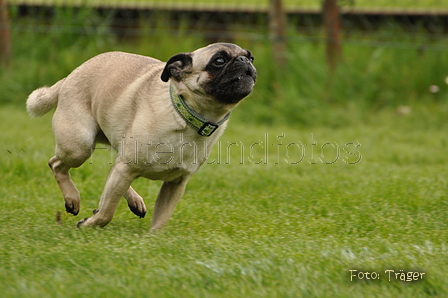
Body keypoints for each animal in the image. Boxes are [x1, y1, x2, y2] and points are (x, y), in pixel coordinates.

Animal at [27, 42, 256, 229]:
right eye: (219, 61)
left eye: (250, 57)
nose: (245, 61)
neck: (185, 115)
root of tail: (70, 76)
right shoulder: (127, 167)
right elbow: (108, 211)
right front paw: (90, 224)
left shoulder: (175, 184)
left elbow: (160, 219)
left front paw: (152, 241)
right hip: (79, 146)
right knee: (57, 164)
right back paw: (72, 198)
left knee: (110, 173)